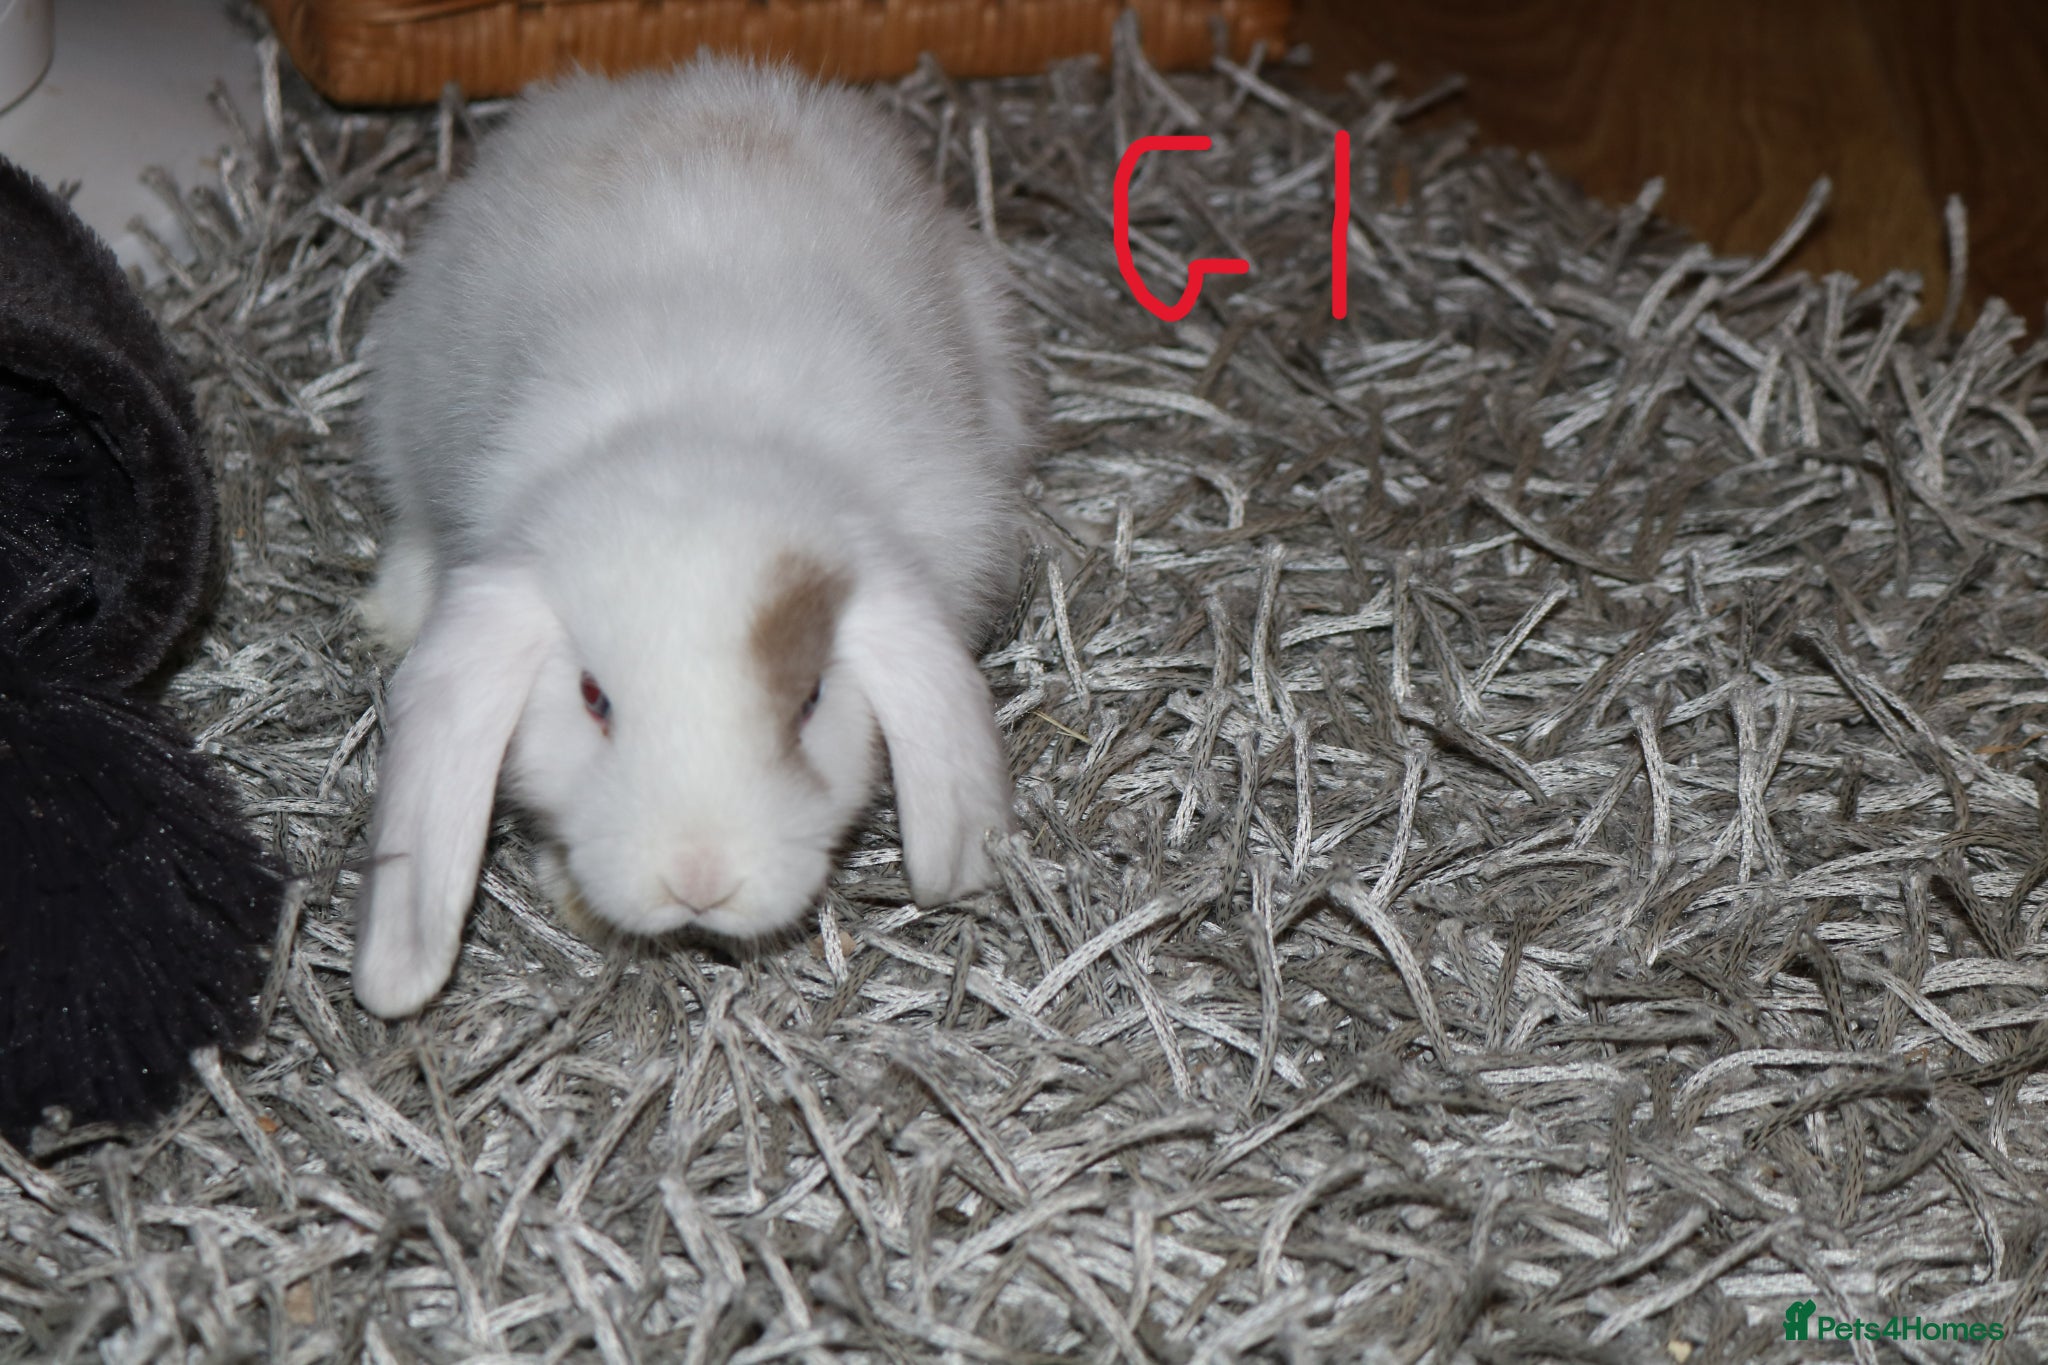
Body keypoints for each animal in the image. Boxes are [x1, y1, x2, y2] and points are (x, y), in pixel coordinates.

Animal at [350, 59, 1034, 1019]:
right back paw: (390, 613)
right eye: (593, 697)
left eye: (811, 700)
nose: (698, 879)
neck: (704, 429)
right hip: (409, 395)